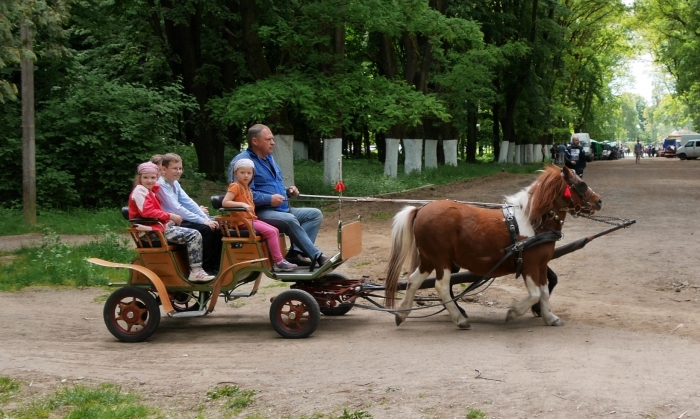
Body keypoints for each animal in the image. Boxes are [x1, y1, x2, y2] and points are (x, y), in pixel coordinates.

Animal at [382, 166, 600, 330]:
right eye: (581, 184)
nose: (599, 200)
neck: (535, 222)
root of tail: (421, 209)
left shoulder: (541, 265)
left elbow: (545, 291)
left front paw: (549, 317)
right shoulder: (529, 265)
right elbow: (535, 294)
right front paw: (513, 312)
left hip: (429, 259)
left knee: (413, 281)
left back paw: (402, 313)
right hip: (442, 260)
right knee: (442, 287)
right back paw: (460, 319)